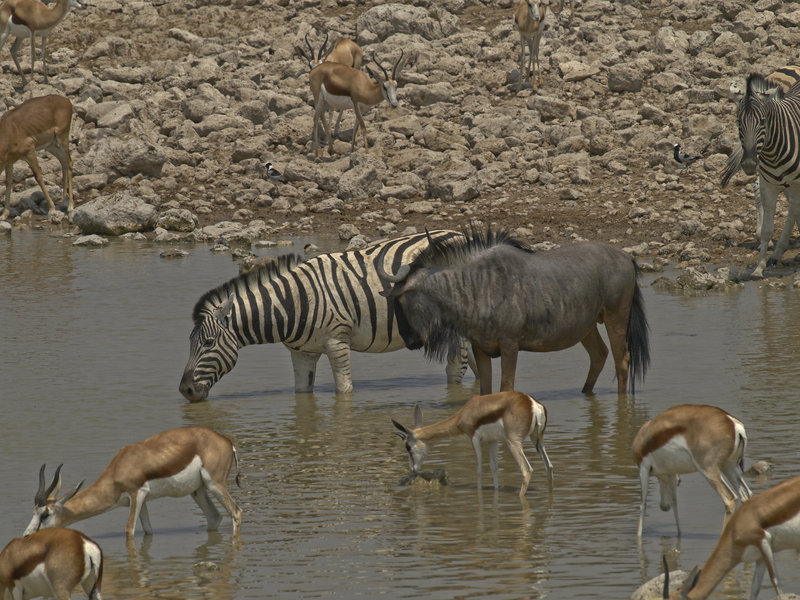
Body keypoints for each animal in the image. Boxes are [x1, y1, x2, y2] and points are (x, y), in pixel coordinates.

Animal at [179, 230, 473, 400]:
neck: (292, 303)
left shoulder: (337, 341)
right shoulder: (301, 353)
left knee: (456, 368)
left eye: (208, 343)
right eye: (190, 343)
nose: (185, 390)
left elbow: (344, 392)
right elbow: (302, 396)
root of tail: (460, 233)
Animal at [731, 73, 800, 278]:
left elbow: (793, 212)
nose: (748, 164)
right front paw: (759, 267)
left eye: (762, 121)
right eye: (738, 122)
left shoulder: (796, 184)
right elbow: (767, 230)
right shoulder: (768, 185)